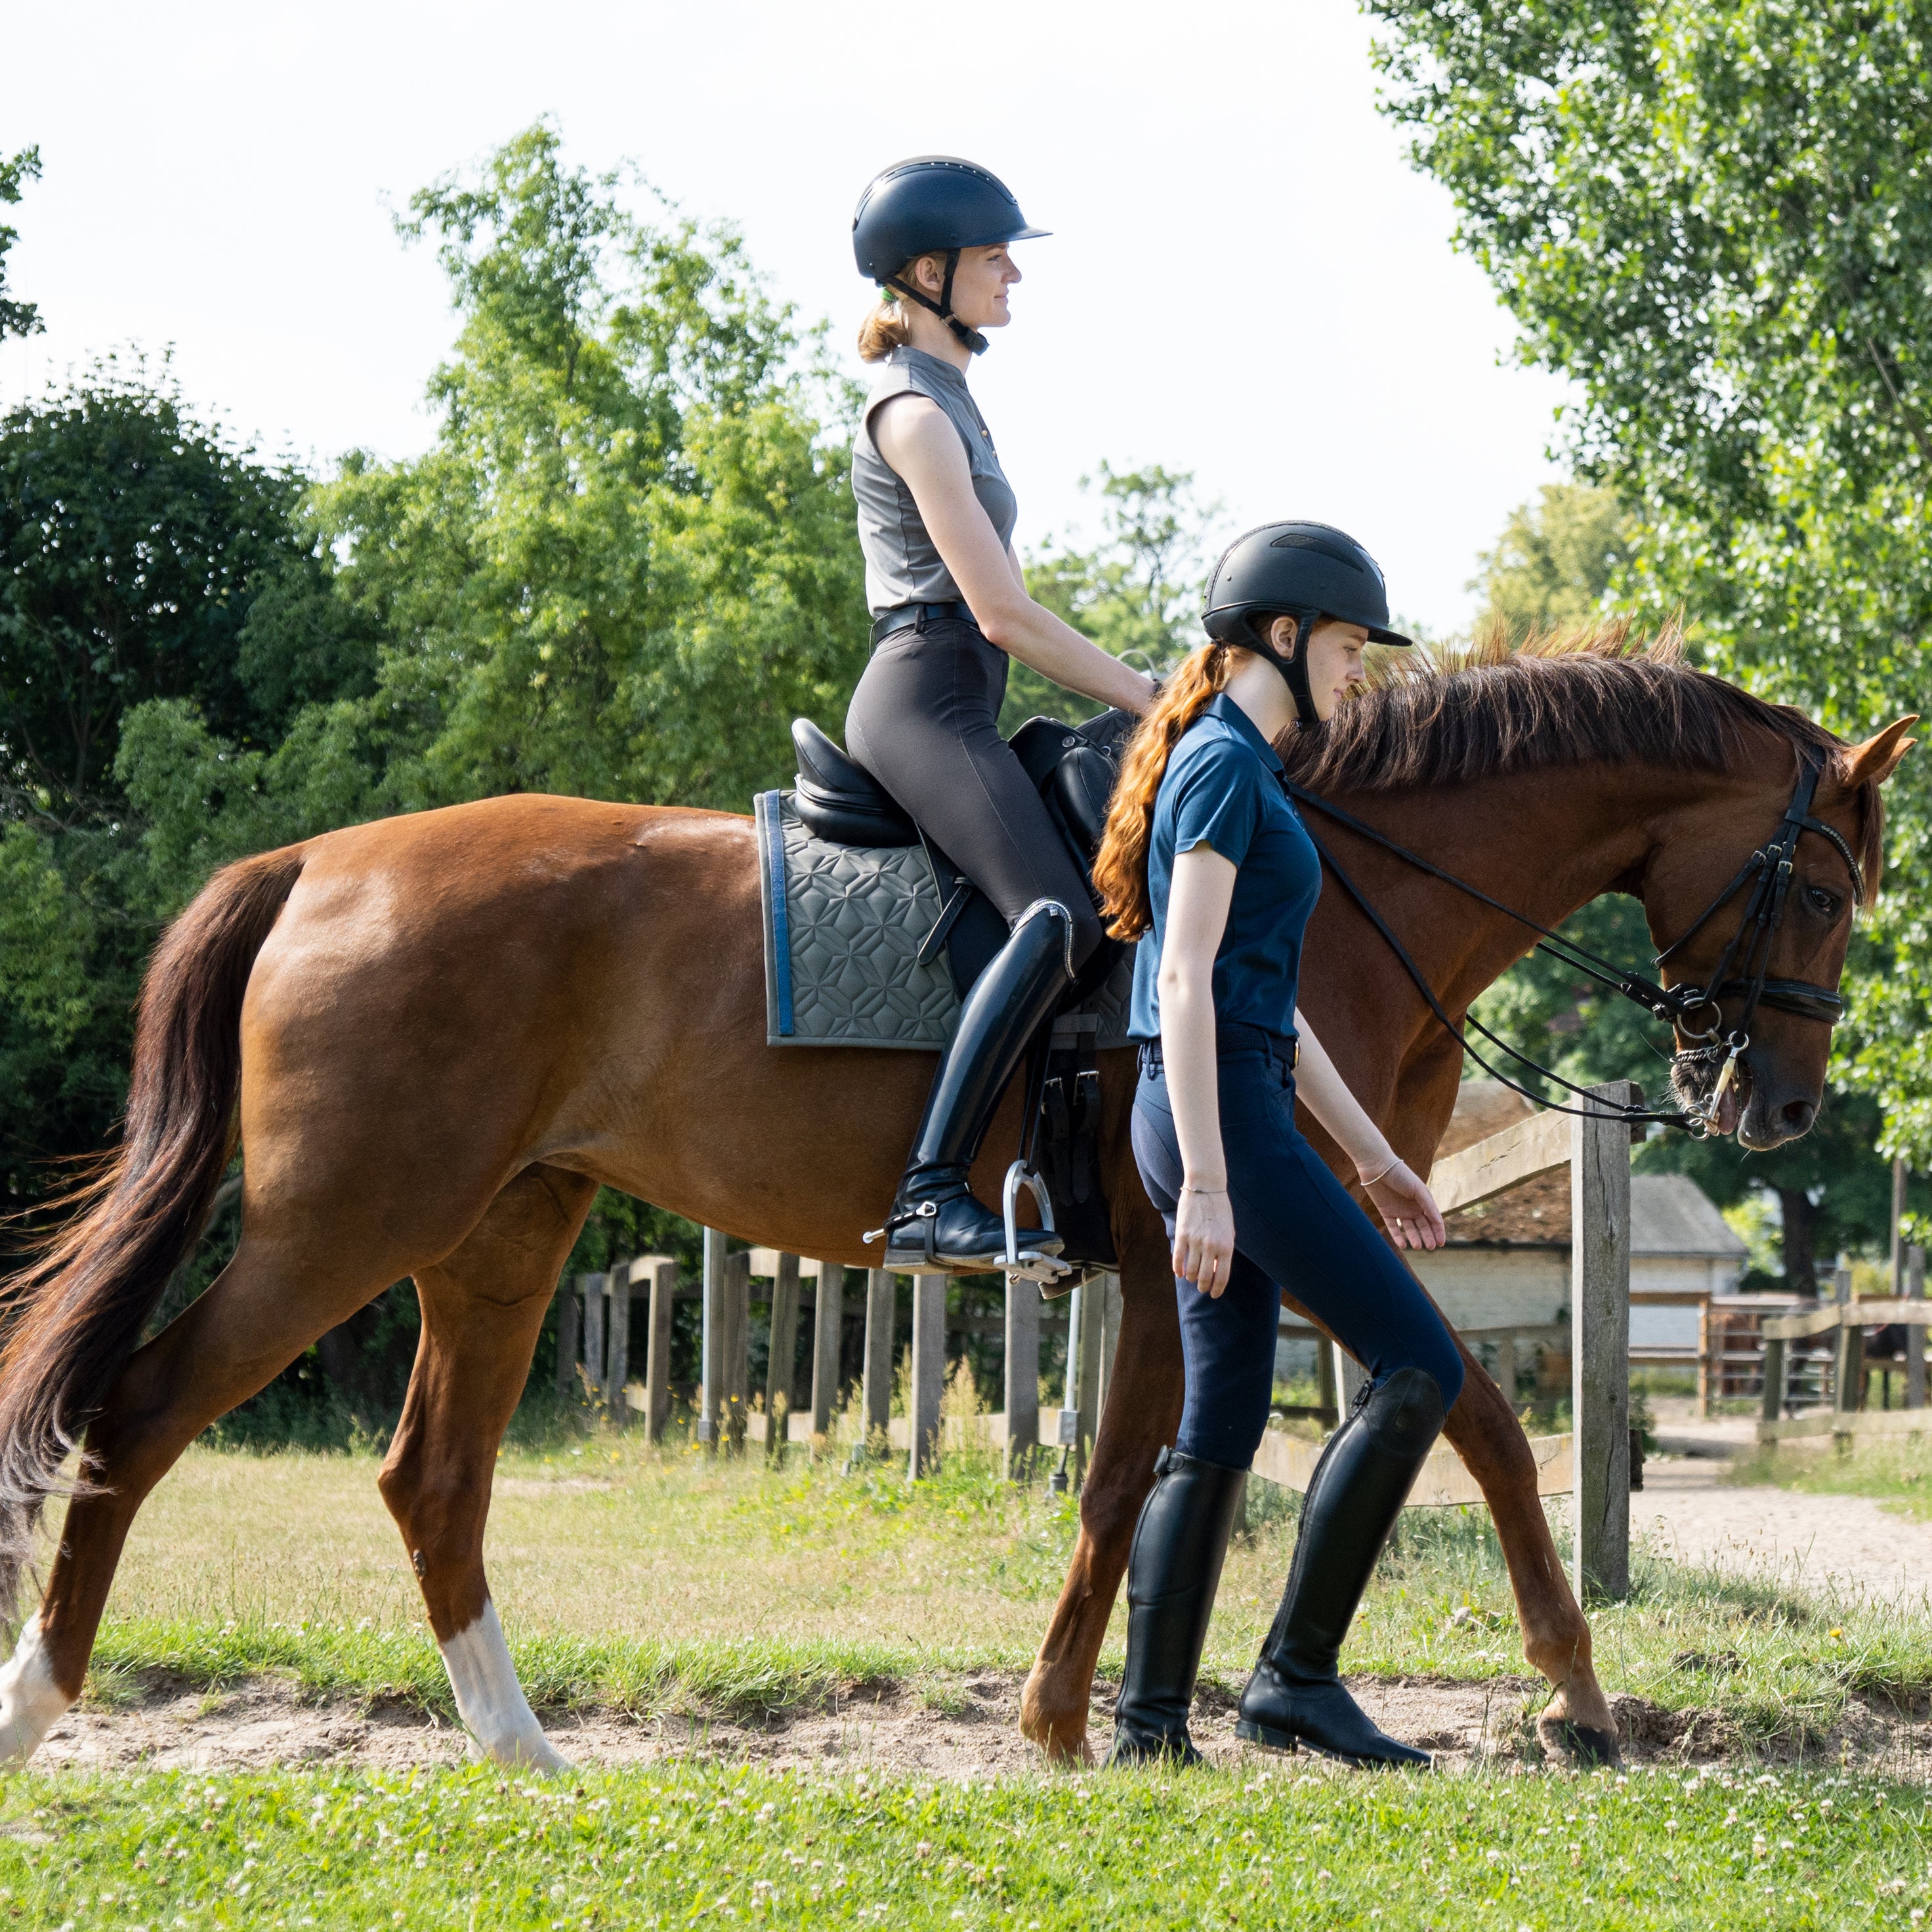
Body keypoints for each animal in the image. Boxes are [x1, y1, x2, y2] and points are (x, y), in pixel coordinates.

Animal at [0, 634, 1911, 1770]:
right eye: (1823, 889)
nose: (1779, 1103)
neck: (1320, 882)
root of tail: (323, 859)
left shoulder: (1269, 1244)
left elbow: (1395, 1434)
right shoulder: (1226, 1236)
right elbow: (1198, 1462)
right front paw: (1088, 1719)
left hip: (500, 1236)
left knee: (430, 1477)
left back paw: (528, 1759)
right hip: (348, 1224)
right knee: (137, 1414)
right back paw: (43, 1709)